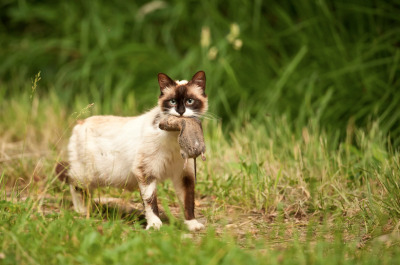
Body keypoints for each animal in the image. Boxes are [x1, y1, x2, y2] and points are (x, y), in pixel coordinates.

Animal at [56, 71, 209, 230]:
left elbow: (188, 202)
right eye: (172, 101)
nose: (180, 112)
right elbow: (150, 202)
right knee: (71, 180)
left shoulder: (184, 175)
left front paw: (192, 224)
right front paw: (154, 225)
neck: (175, 135)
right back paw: (81, 210)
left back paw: (90, 208)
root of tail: (80, 122)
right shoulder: (145, 172)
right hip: (87, 174)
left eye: (190, 101)